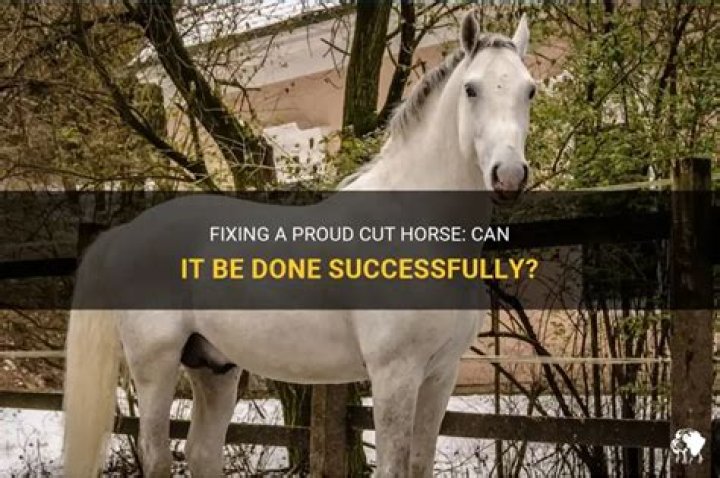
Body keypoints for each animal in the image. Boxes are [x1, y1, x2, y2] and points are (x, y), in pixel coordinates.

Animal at [63, 12, 534, 477]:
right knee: (157, 455)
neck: (415, 228)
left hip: (216, 367)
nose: (508, 174)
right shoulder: (395, 375)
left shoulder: (441, 375)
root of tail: (126, 233)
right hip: (155, 366)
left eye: (529, 89)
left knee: (201, 451)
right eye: (471, 89)